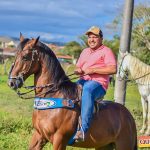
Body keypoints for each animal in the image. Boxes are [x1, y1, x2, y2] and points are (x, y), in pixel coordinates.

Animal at [7, 34, 137, 150]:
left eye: (25, 57)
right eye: (15, 55)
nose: (11, 83)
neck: (53, 96)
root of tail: (129, 116)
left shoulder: (59, 140)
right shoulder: (39, 136)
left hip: (124, 146)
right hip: (104, 146)